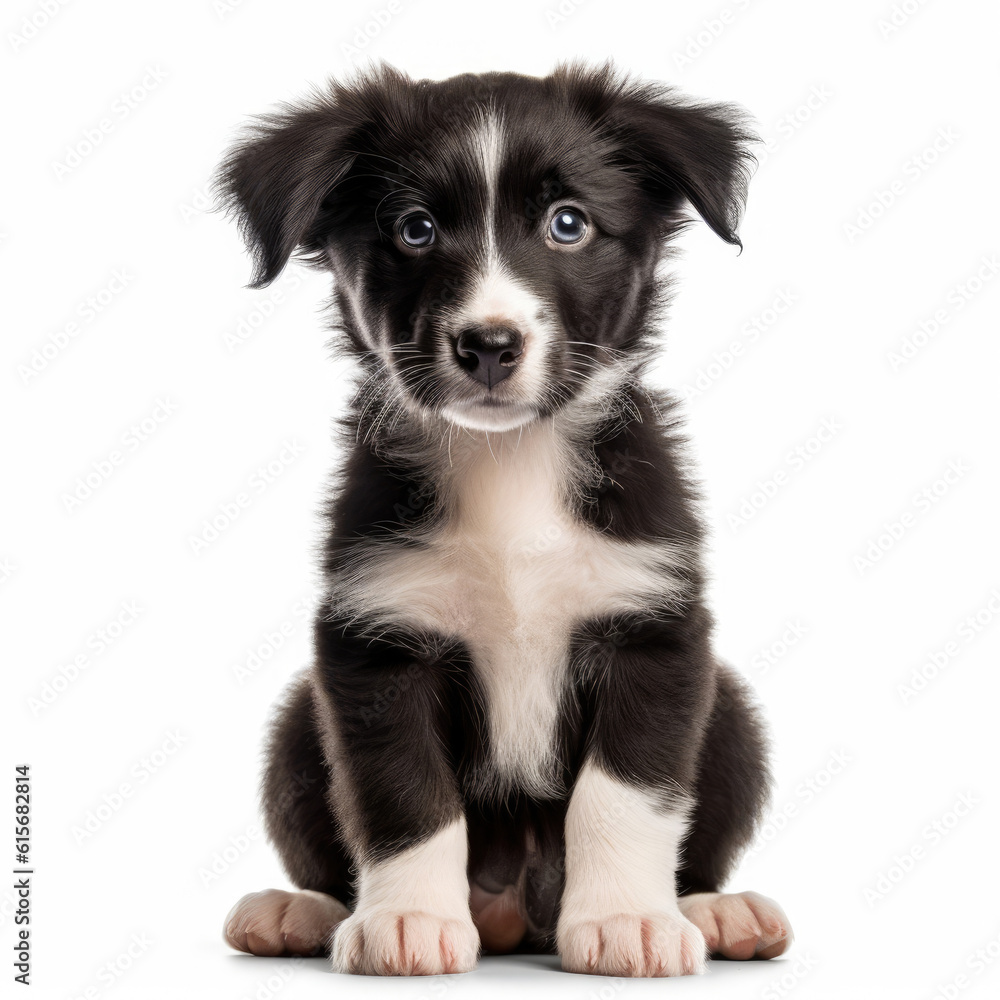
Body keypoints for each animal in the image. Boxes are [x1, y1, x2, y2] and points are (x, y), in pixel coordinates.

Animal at [217, 60, 788, 976]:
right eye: (414, 230)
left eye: (568, 224)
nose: (488, 344)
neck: (510, 462)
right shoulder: (375, 641)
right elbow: (402, 792)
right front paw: (408, 919)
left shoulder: (654, 630)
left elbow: (623, 792)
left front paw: (627, 919)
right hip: (298, 722)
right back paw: (300, 909)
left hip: (731, 713)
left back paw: (714, 908)